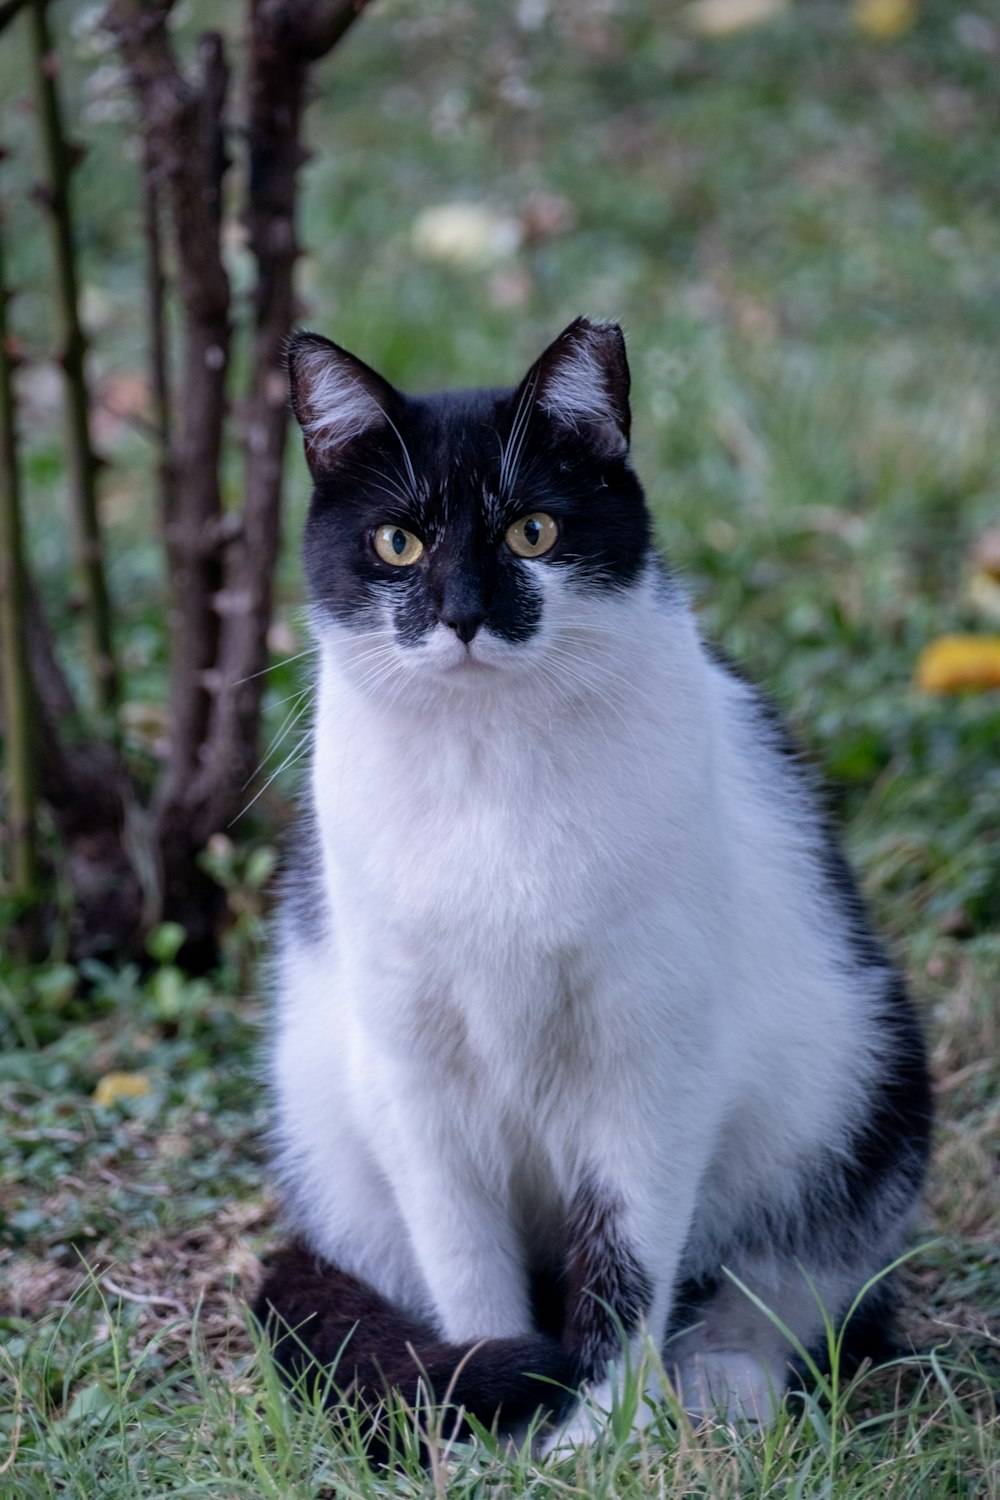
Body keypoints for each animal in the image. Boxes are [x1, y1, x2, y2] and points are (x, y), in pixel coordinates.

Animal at [256, 316, 929, 1452]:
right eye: (398, 543)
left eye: (533, 531)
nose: (464, 616)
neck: (493, 768)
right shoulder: (414, 1067)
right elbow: (463, 1258)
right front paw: (492, 1411)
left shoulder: (650, 1061)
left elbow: (625, 1257)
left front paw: (601, 1433)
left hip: (871, 1086)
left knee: (784, 1284)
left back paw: (725, 1386)